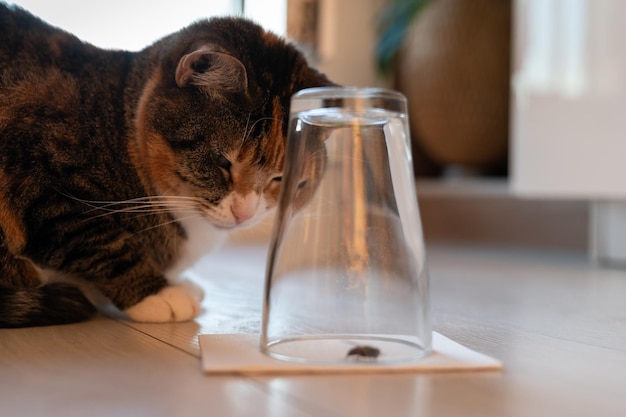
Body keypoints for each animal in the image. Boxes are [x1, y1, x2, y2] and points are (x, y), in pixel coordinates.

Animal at [0, 4, 332, 328]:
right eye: (221, 161)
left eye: (281, 177)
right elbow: (97, 241)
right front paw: (156, 295)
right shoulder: (40, 183)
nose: (243, 214)